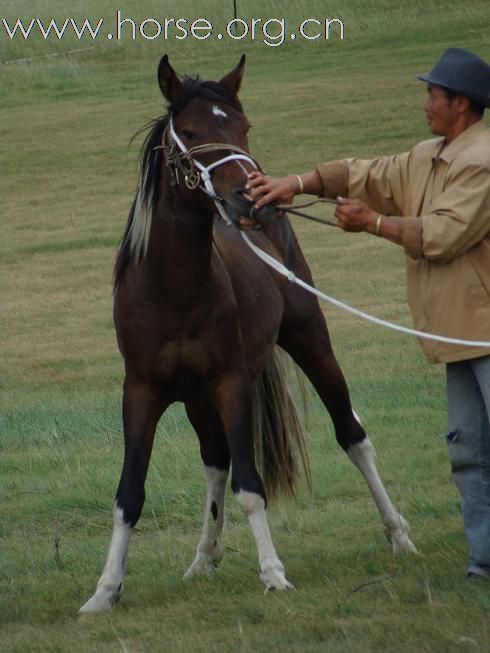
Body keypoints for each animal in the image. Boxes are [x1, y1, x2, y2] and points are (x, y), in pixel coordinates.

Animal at [78, 54, 416, 612]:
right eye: (191, 132)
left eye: (243, 127)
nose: (255, 197)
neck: (172, 290)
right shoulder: (141, 392)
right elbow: (129, 493)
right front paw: (105, 591)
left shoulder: (231, 384)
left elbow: (251, 485)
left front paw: (273, 573)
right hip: (196, 399)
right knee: (215, 461)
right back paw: (203, 558)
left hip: (310, 341)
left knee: (352, 434)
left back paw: (399, 534)